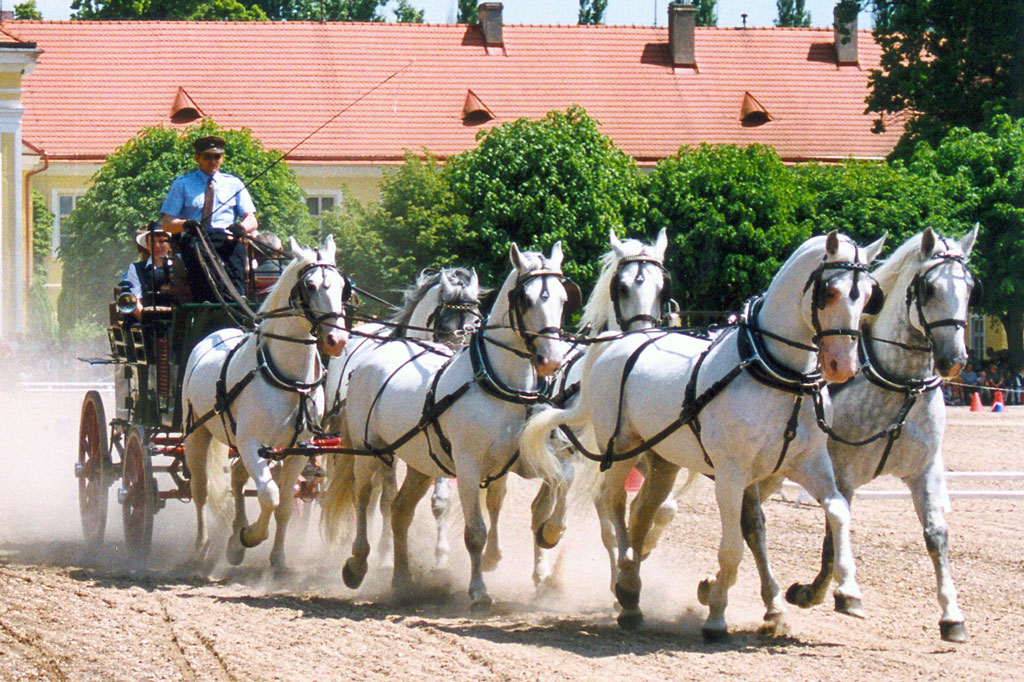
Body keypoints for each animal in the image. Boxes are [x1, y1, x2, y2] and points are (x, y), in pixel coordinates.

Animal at [187, 236, 352, 569]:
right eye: (310, 285)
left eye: (343, 286)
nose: (336, 341)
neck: (289, 378)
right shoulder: (251, 442)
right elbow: (269, 495)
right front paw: (251, 536)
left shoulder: (298, 449)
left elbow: (285, 504)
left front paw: (277, 558)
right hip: (197, 433)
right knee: (200, 489)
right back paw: (202, 545)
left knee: (238, 478)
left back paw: (233, 541)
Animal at [321, 266, 481, 561]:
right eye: (444, 325)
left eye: (474, 324)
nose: (456, 367)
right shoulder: (385, 447)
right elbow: (388, 498)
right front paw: (385, 551)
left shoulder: (438, 440)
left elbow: (440, 500)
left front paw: (441, 553)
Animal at [524, 229, 884, 638]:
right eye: (831, 292)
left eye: (868, 296)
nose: (843, 365)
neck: (776, 373)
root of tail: (617, 343)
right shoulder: (731, 474)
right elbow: (732, 547)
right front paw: (716, 615)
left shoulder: (807, 464)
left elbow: (837, 511)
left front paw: (846, 592)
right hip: (621, 448)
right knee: (610, 502)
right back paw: (623, 586)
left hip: (662, 460)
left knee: (641, 512)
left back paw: (630, 586)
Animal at [786, 225, 978, 638]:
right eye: (929, 289)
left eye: (970, 288)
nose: (954, 360)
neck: (900, 384)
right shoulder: (842, 473)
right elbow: (834, 534)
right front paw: (830, 591)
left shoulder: (925, 471)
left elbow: (937, 535)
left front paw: (952, 615)